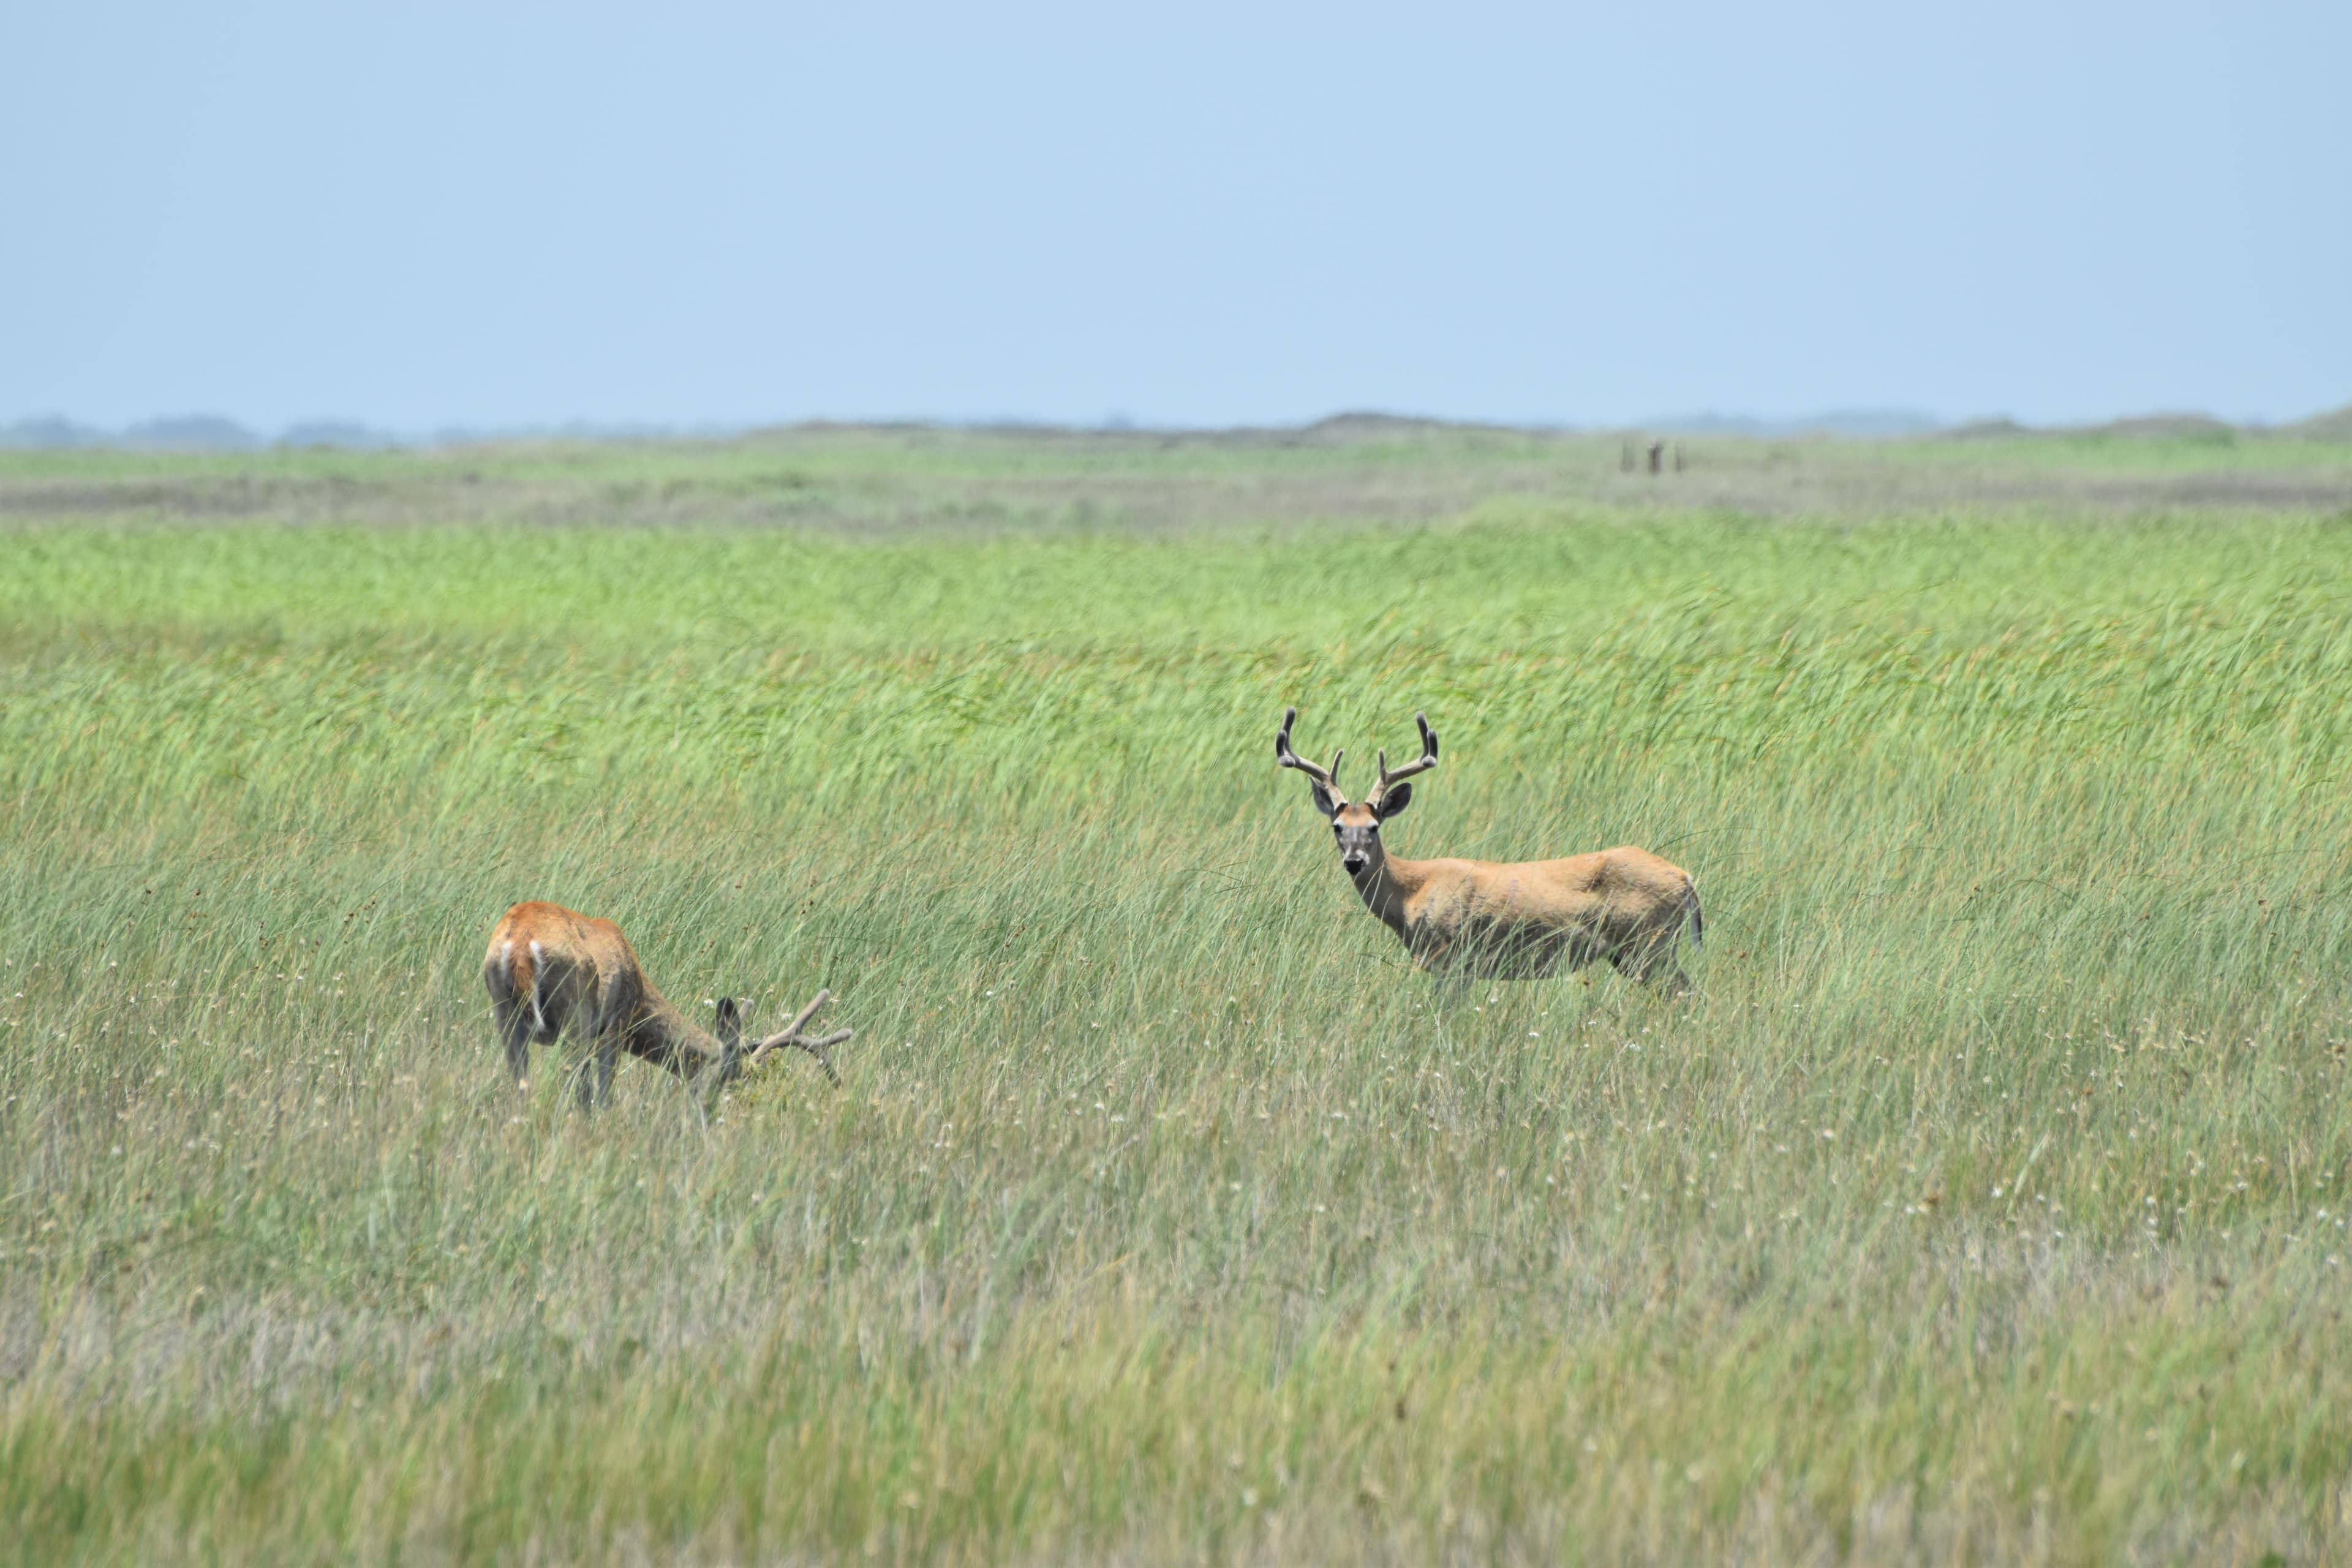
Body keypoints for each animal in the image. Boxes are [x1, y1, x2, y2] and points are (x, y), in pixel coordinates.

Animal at [481, 900, 851, 1110]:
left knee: (521, 1083)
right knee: (573, 1082)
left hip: (504, 1012)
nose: (717, 1109)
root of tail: (520, 944)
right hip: (577, 1013)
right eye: (731, 1077)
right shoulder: (615, 1024)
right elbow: (602, 1094)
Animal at [1274, 707, 1703, 989]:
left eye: (1374, 827)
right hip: (1636, 953)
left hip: (1650, 944)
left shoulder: (1451, 959)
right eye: (1338, 827)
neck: (1411, 892)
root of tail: (1686, 878)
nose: (1354, 861)